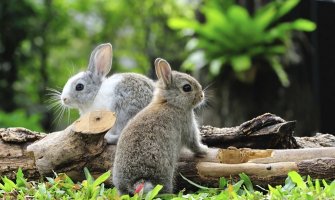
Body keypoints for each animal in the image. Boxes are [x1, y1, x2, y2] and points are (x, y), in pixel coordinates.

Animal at [112, 57, 207, 194]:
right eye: (187, 88)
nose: (201, 96)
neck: (169, 102)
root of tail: (137, 181)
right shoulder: (187, 126)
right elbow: (193, 143)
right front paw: (204, 150)